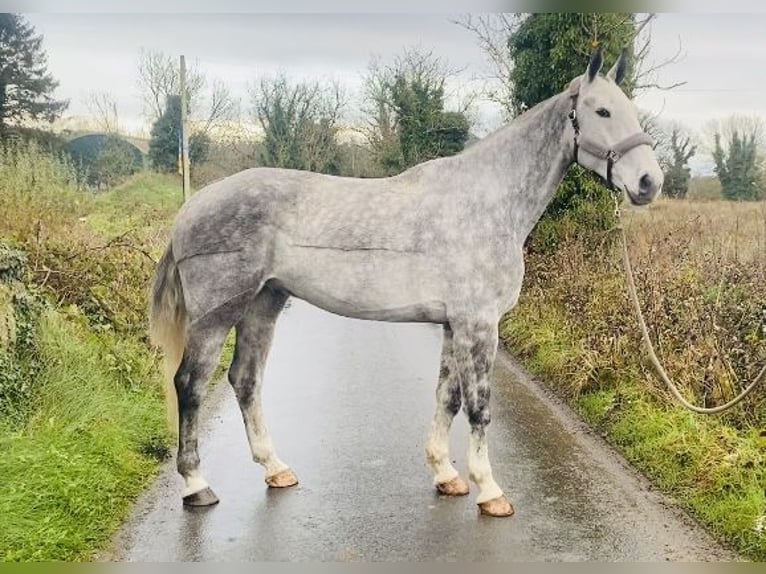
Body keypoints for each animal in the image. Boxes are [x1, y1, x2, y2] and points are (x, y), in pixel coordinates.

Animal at [148, 48, 660, 516]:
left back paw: (276, 469)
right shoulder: (478, 325)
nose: (649, 182)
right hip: (217, 314)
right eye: (602, 111)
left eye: (632, 110)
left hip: (264, 303)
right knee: (190, 384)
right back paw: (197, 485)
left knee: (245, 380)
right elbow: (479, 406)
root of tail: (191, 207)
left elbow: (448, 398)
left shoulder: (454, 325)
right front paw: (489, 490)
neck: (488, 201)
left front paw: (447, 474)